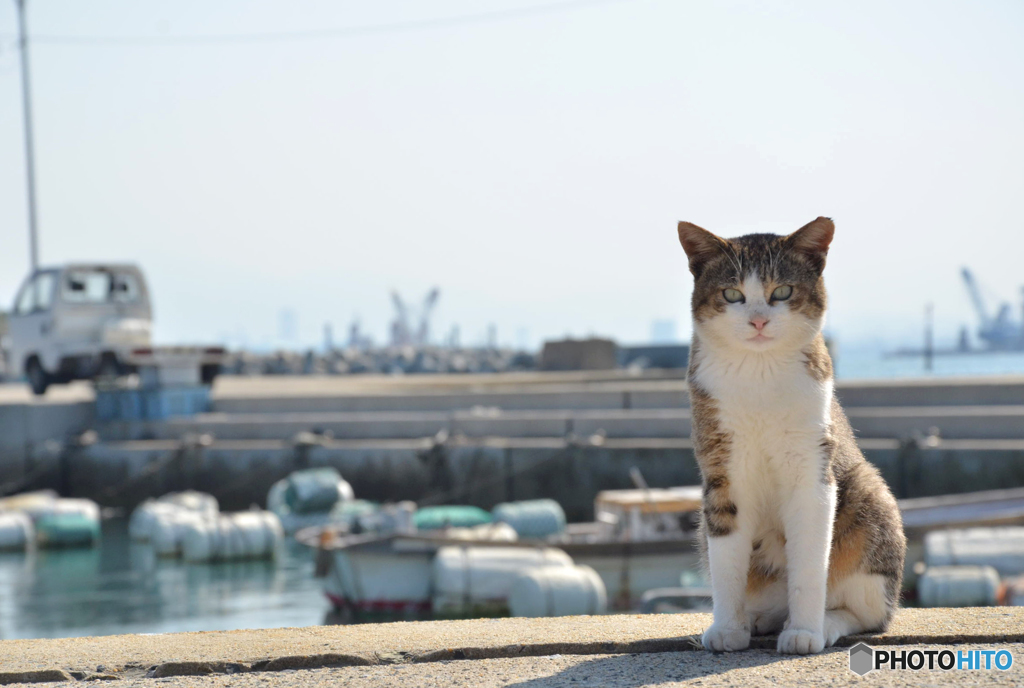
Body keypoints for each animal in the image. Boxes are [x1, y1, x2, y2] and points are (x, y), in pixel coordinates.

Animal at [679, 218, 905, 651]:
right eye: (732, 294)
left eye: (781, 291)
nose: (758, 320)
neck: (759, 370)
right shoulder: (722, 471)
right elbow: (727, 562)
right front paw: (728, 628)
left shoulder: (812, 470)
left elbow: (810, 564)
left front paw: (804, 632)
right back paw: (756, 619)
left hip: (869, 499)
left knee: (868, 612)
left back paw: (824, 623)